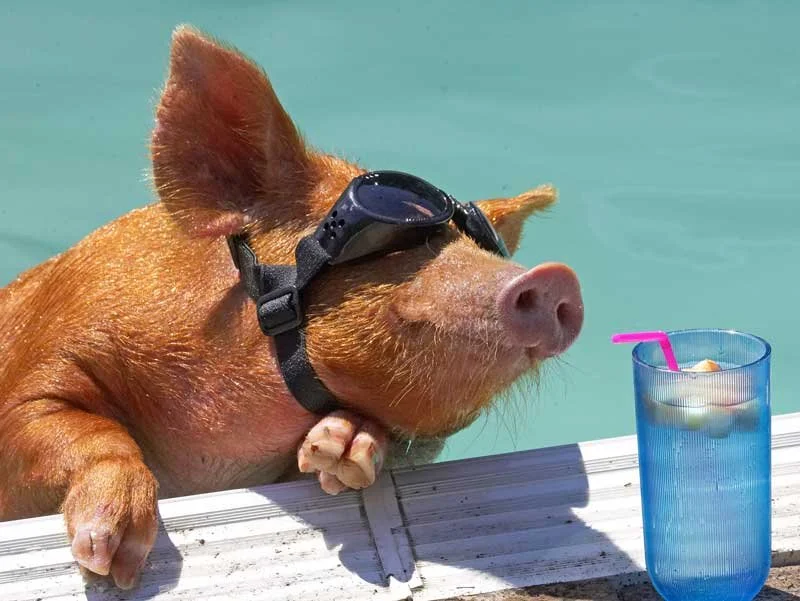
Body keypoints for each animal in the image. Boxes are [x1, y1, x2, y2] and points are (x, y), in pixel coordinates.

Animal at [0, 25, 584, 589]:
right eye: (394, 238)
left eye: (483, 245)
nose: (558, 278)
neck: (212, 466)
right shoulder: (41, 361)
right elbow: (75, 428)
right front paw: (109, 561)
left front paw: (340, 446)